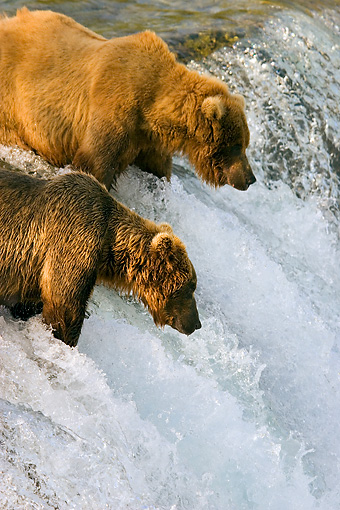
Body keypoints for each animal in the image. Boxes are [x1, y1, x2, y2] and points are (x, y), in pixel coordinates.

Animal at [0, 7, 255, 191]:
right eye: (235, 145)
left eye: (245, 143)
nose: (250, 178)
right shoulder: (114, 108)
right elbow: (94, 163)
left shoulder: (149, 141)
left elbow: (158, 169)